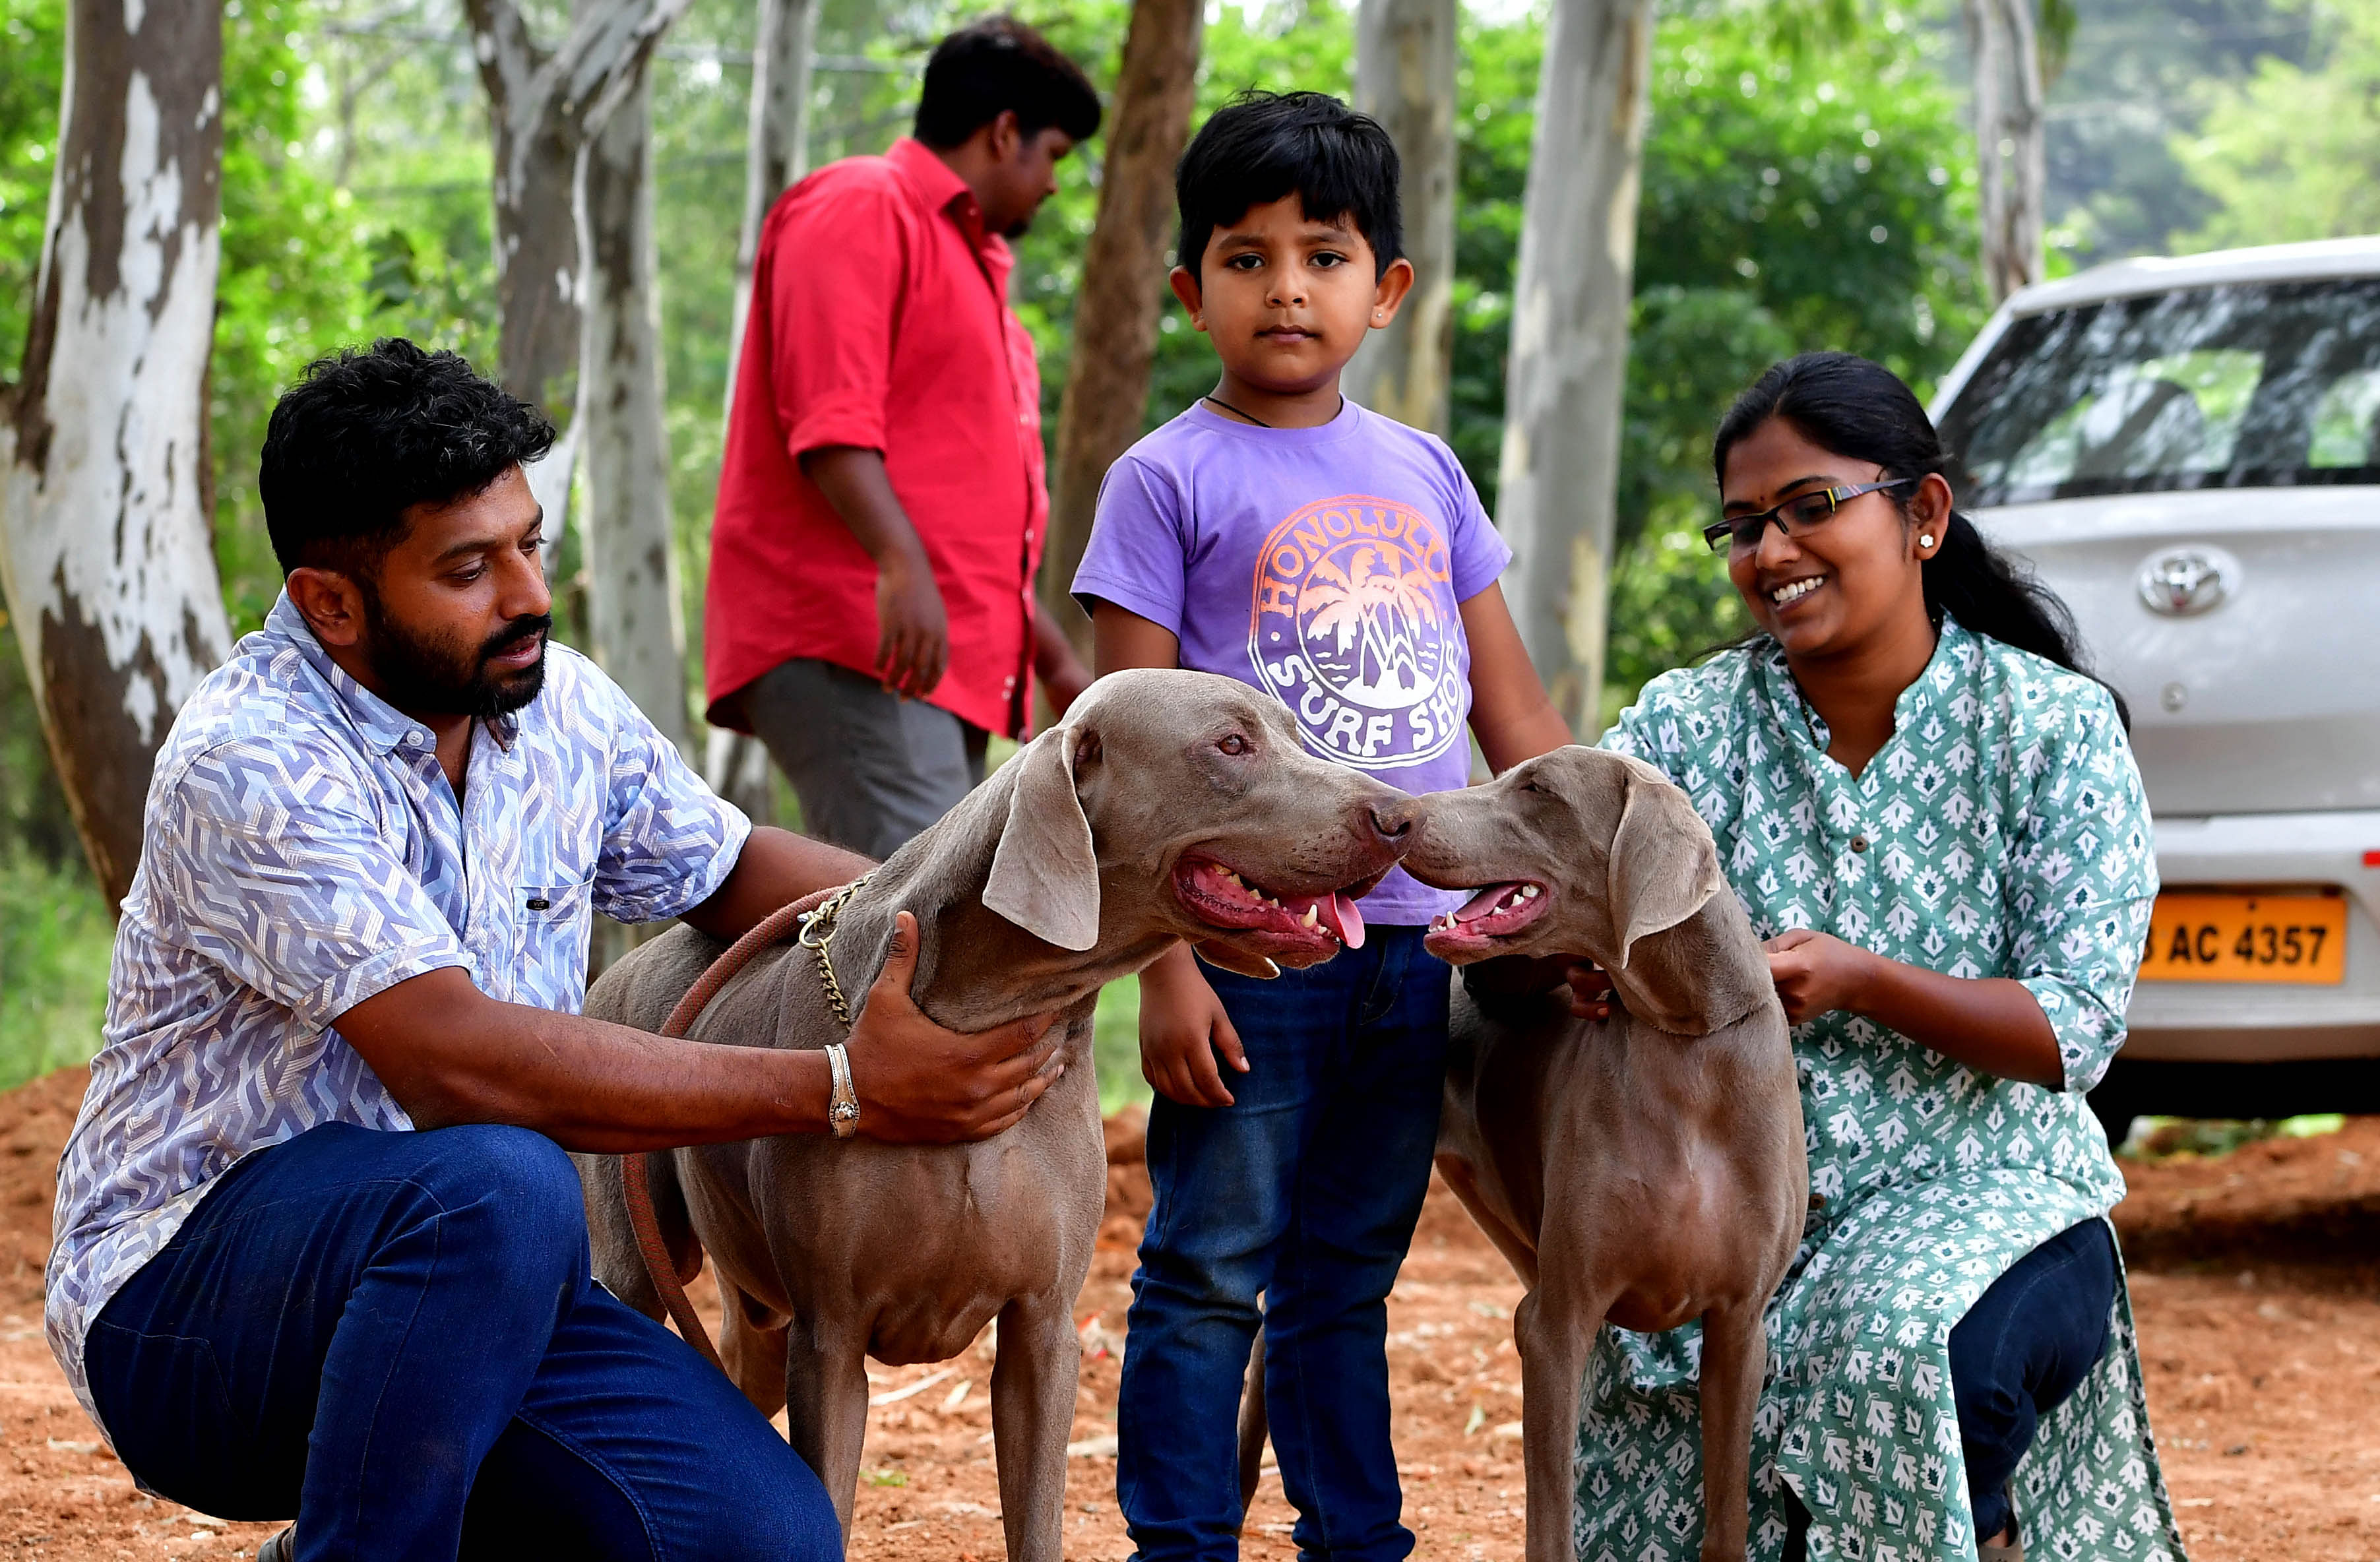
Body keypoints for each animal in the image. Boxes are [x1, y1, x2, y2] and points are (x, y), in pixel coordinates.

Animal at [571, 666, 1408, 1552]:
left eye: (1294, 730)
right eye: (1230, 744)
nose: (1400, 817)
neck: (988, 1004)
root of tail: (621, 969)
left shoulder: (1043, 1327)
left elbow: (1035, 1520)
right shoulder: (829, 1335)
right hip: (642, 1263)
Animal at [1399, 743, 1790, 1562]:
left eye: (1538, 789)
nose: (1402, 812)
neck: (1687, 1042)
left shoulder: (1740, 1326)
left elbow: (1726, 1522)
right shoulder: (1562, 1322)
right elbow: (1552, 1526)